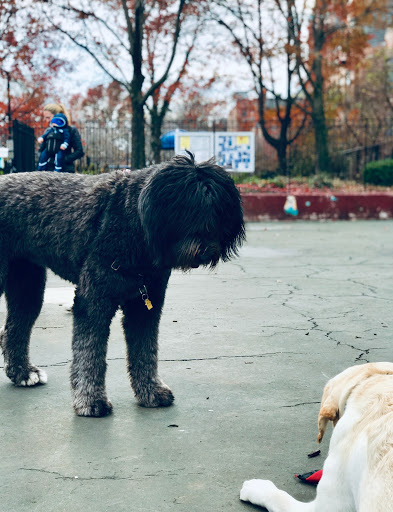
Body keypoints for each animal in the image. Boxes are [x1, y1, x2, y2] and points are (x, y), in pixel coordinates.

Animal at [0, 153, 243, 416]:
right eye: (189, 211)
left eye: (219, 212)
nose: (208, 250)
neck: (132, 220)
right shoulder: (93, 301)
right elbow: (89, 351)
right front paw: (91, 400)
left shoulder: (145, 305)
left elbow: (145, 351)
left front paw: (151, 392)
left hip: (28, 287)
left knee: (14, 329)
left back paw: (23, 373)